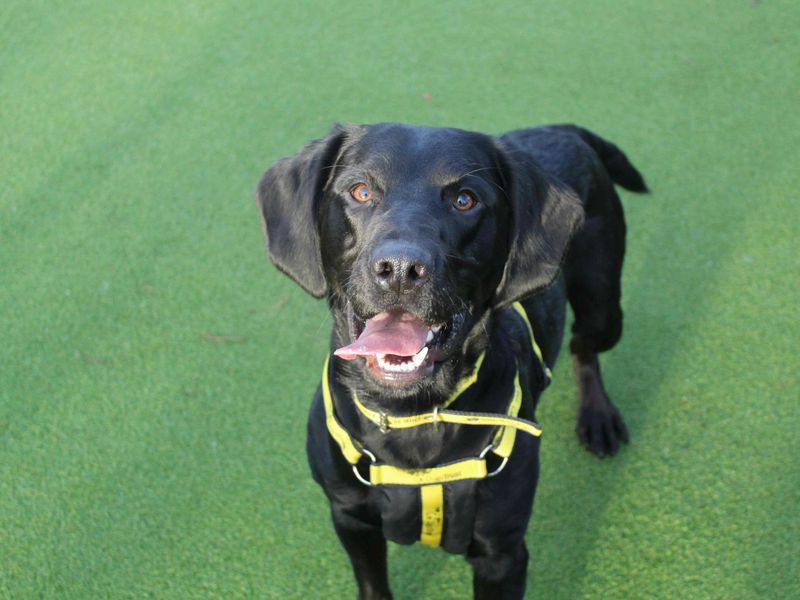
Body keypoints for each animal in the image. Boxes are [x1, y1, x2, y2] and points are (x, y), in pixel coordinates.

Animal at [256, 124, 644, 596]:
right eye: (360, 191)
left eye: (465, 199)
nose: (400, 269)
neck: (413, 418)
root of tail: (559, 128)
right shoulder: (351, 519)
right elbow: (372, 584)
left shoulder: (502, 555)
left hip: (603, 305)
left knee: (583, 346)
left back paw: (597, 417)